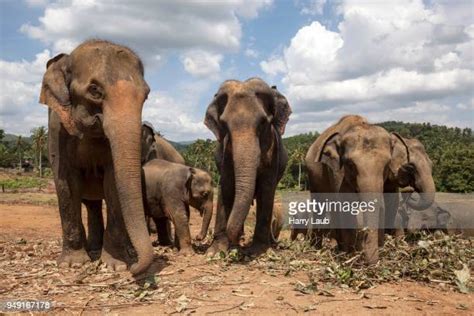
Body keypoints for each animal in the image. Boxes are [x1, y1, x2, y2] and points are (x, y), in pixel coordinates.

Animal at [40, 40, 153, 274]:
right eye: (94, 90)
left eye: (146, 95)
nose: (135, 267)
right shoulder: (56, 129)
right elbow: (66, 183)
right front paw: (73, 263)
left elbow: (112, 184)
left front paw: (115, 264)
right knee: (89, 204)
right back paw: (91, 248)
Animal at [205, 79, 292, 256]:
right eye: (224, 125)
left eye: (263, 123)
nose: (236, 245)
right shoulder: (225, 153)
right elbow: (226, 186)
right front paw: (216, 252)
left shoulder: (273, 151)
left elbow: (267, 190)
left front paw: (258, 250)